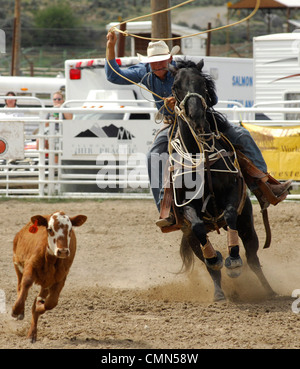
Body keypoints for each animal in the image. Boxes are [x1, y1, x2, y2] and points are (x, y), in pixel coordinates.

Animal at [11, 210, 86, 342]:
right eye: (50, 229)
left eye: (70, 229)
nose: (63, 251)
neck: (51, 260)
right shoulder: (30, 266)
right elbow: (26, 283)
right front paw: (16, 310)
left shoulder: (61, 277)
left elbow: (51, 302)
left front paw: (38, 305)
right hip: (17, 265)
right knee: (20, 286)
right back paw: (20, 312)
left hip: (46, 282)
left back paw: (32, 334)